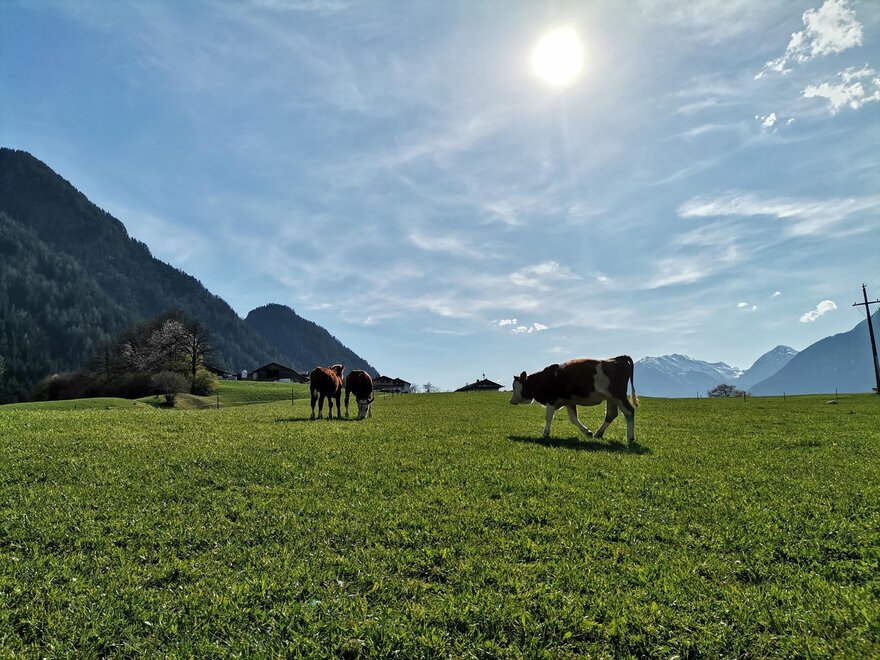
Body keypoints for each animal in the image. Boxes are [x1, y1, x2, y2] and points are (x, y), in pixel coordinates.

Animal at [510, 355, 639, 443]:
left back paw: (630, 438)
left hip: (618, 396)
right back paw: (598, 433)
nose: (511, 401)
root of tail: (618, 358)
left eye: (515, 386)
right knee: (611, 414)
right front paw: (587, 432)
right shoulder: (569, 402)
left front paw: (546, 433)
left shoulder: (551, 400)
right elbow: (573, 419)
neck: (543, 379)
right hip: (611, 398)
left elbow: (549, 417)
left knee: (629, 412)